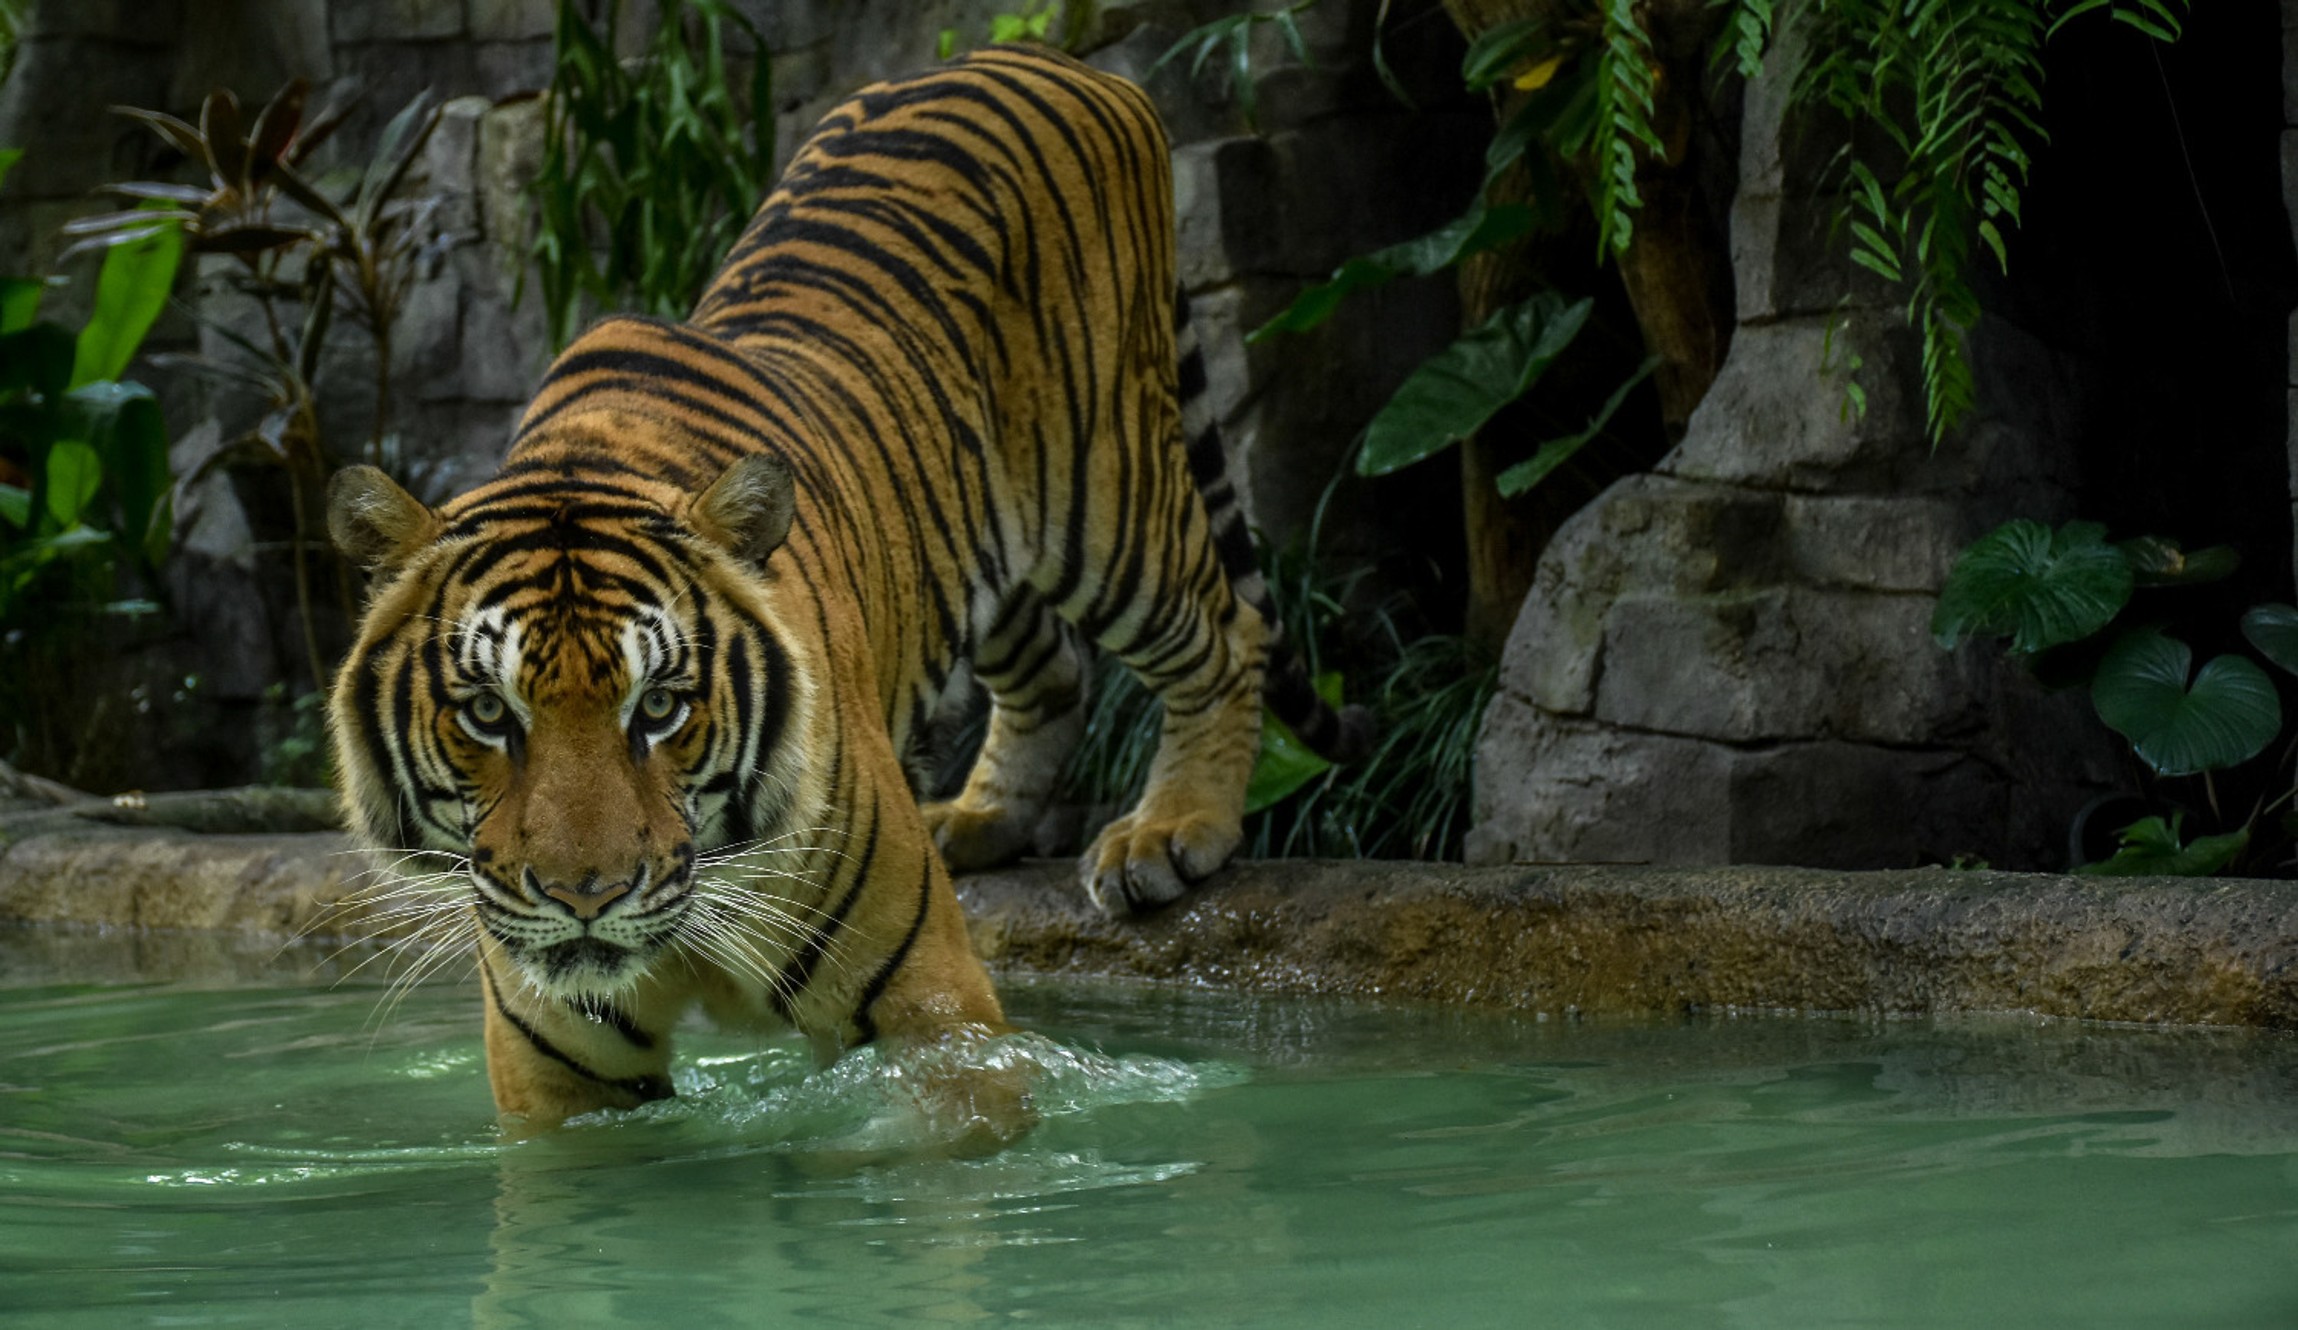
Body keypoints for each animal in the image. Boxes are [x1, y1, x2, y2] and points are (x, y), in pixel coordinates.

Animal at [324, 45, 1365, 1129]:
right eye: (488, 713)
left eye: (660, 708)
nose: (586, 897)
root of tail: (1046, 56)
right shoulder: (563, 1070)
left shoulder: (933, 1015)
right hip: (975, 542)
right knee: (1056, 671)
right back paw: (976, 819)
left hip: (1106, 494)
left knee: (1226, 633)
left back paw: (1169, 832)